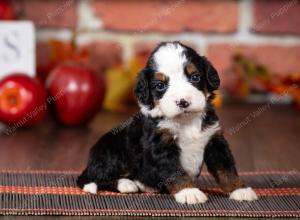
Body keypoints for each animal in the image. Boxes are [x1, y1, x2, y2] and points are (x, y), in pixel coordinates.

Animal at [78, 41, 258, 205]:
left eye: (195, 76)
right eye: (160, 85)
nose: (183, 102)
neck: (186, 120)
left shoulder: (214, 140)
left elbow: (226, 169)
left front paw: (239, 190)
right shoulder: (161, 145)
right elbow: (175, 171)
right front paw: (189, 192)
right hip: (112, 151)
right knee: (93, 179)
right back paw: (126, 184)